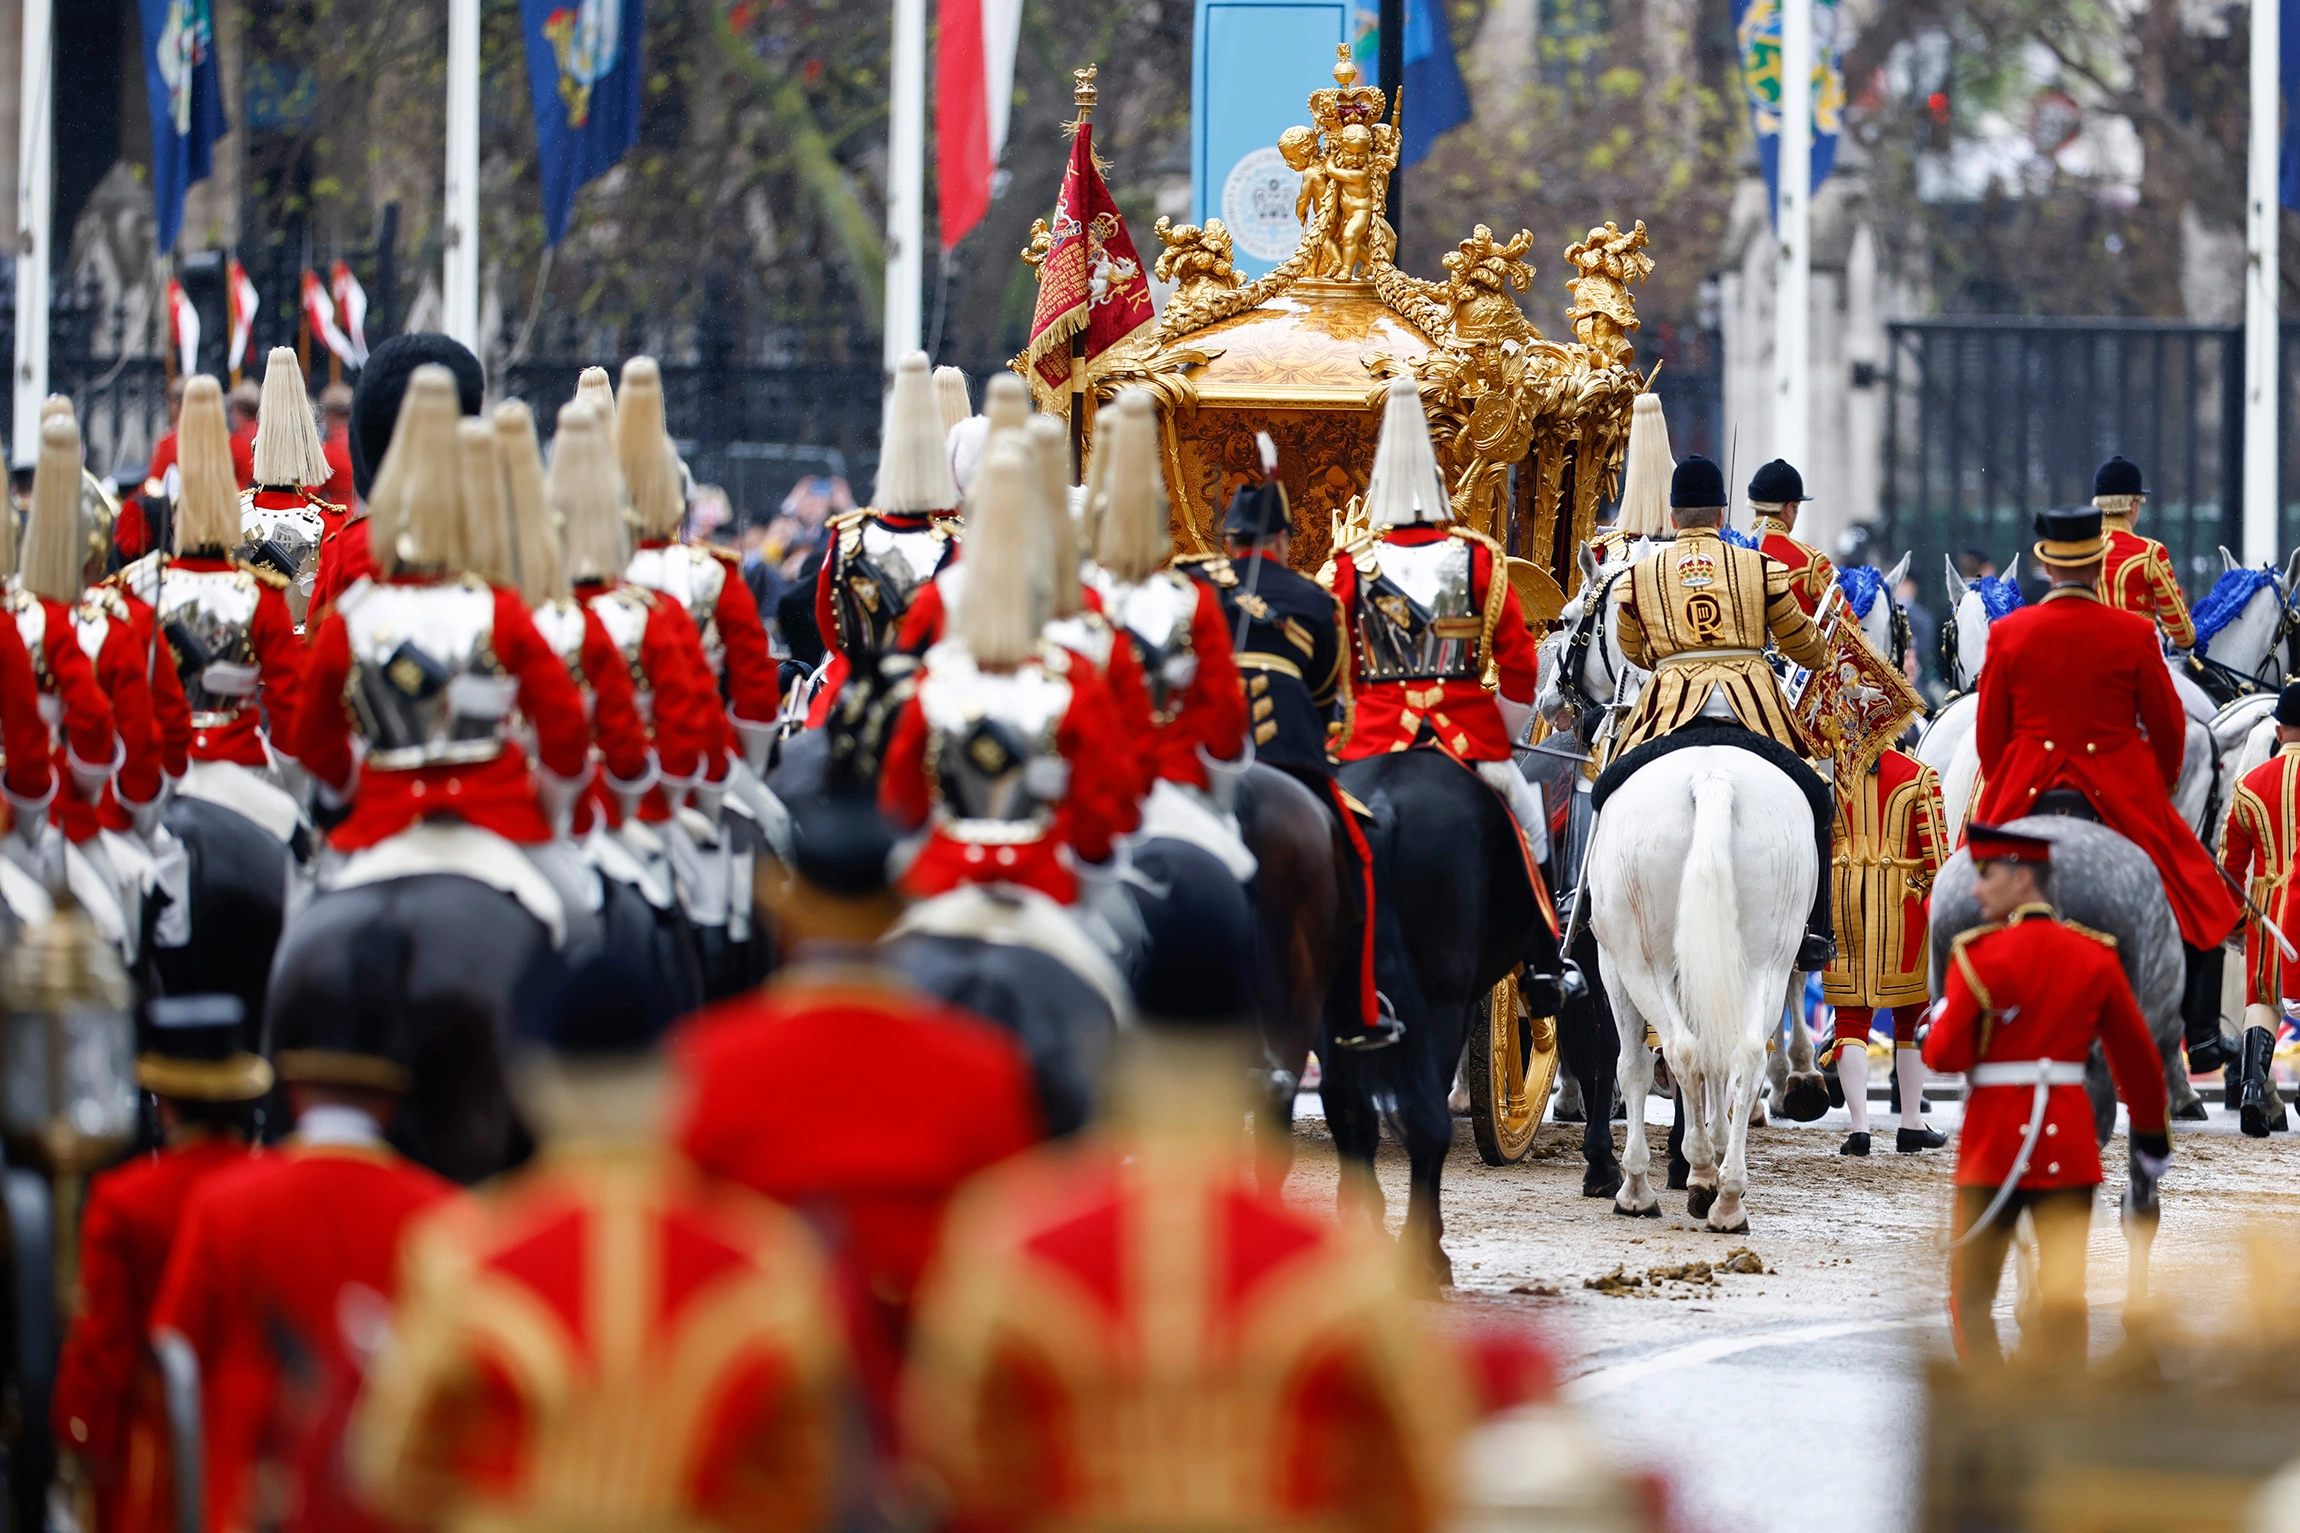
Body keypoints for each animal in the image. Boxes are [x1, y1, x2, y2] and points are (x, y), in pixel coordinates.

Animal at [1582, 749, 1812, 1231]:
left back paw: (1698, 1171)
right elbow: (1717, 1061)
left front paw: (1636, 1186)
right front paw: (1715, 1147)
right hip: (1766, 962)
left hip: (1641, 964)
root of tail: (1711, 776)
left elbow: (1632, 1067)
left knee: (1680, 1050)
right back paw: (1728, 1194)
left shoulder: (1610, 965)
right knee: (1745, 1054)